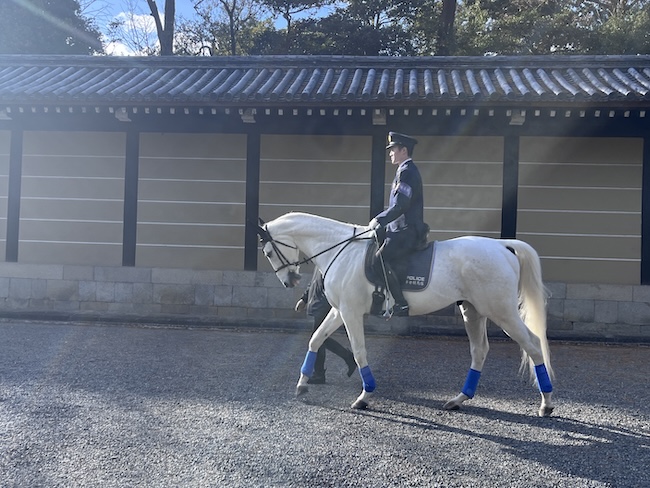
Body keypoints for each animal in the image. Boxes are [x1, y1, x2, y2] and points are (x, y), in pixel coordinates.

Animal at [256, 212, 554, 417]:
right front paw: (302, 385)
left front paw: (364, 396)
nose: (289, 281)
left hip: (501, 312)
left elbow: (359, 351)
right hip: (473, 312)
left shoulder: (351, 311)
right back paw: (458, 399)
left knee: (533, 345)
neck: (341, 250)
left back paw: (546, 404)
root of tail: (502, 246)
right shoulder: (340, 310)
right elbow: (316, 339)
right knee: (480, 351)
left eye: (268, 252)